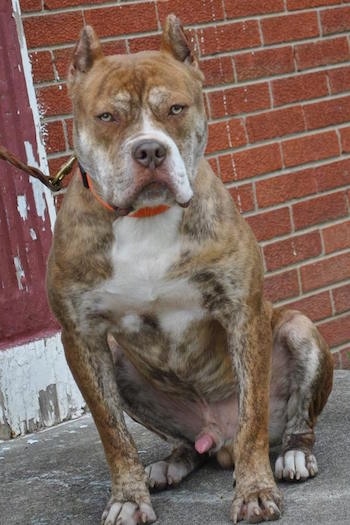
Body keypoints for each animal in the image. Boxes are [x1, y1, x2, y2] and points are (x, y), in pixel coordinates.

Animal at [46, 14, 334, 520]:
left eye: (175, 109)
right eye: (107, 117)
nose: (149, 151)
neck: (146, 218)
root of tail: (218, 440)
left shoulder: (243, 313)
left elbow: (252, 415)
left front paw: (255, 491)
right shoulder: (81, 337)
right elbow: (112, 433)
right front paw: (127, 499)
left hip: (299, 330)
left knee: (287, 423)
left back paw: (294, 455)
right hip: (123, 366)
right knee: (188, 445)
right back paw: (169, 465)